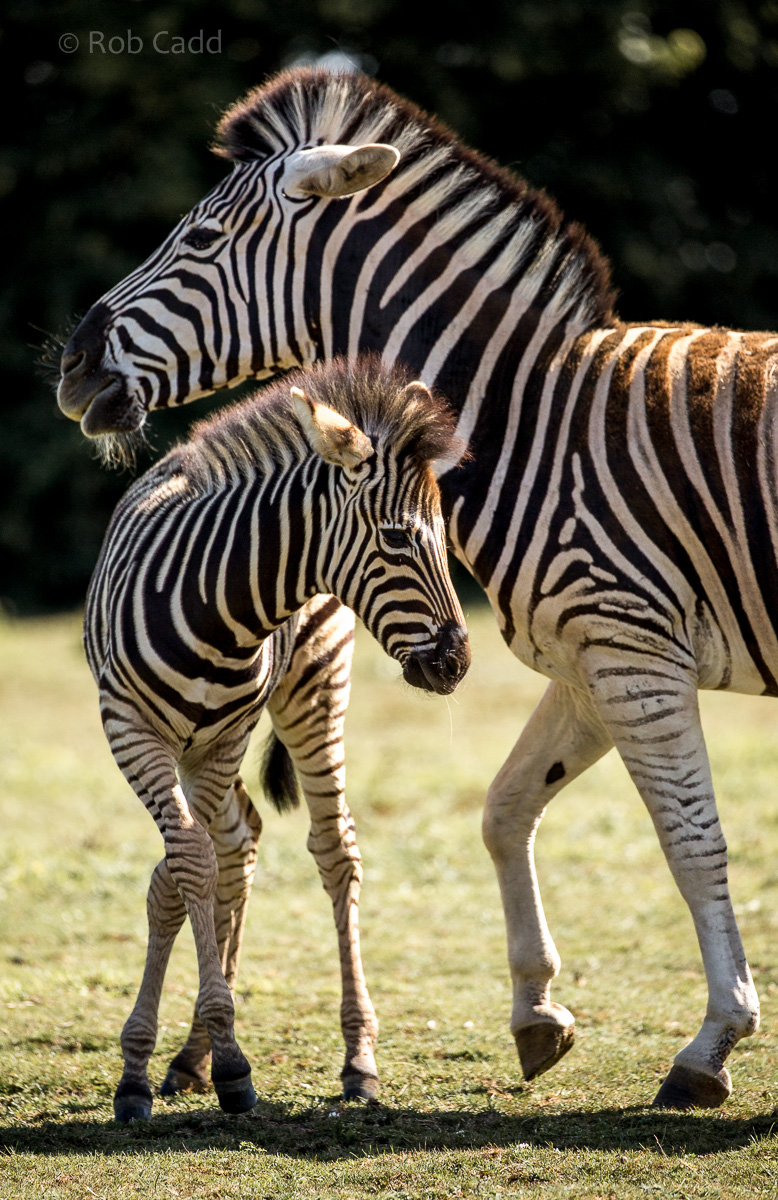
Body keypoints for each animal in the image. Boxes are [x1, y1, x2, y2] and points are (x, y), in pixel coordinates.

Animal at [83, 355, 470, 1122]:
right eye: (396, 538)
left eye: (444, 537)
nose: (458, 662)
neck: (220, 603)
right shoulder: (134, 731)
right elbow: (186, 869)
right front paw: (155, 1064)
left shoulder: (224, 737)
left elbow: (186, 871)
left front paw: (225, 1061)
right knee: (236, 844)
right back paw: (192, 1056)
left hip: (312, 691)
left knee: (331, 850)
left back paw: (356, 1060)